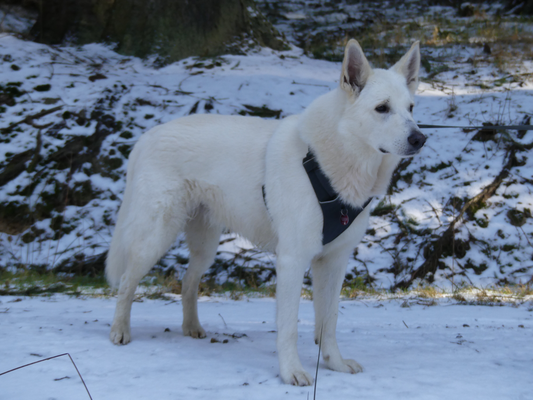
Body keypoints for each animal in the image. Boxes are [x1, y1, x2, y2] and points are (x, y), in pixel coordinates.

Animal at [106, 39, 426, 386]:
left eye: (411, 108)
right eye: (382, 108)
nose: (420, 138)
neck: (331, 163)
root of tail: (147, 136)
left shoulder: (334, 262)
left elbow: (329, 322)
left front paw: (335, 364)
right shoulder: (292, 261)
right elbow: (289, 327)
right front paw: (292, 372)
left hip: (205, 246)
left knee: (188, 281)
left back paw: (191, 328)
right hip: (156, 237)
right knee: (127, 282)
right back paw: (119, 332)